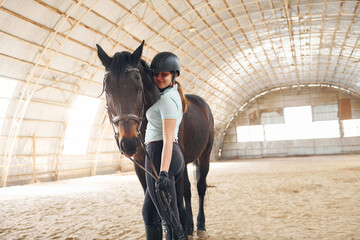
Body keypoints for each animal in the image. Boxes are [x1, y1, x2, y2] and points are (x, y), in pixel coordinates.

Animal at [96, 41, 214, 238]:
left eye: (139, 89)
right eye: (108, 91)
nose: (128, 144)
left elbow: (177, 206)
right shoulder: (140, 167)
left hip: (204, 156)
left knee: (200, 187)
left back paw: (200, 224)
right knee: (188, 191)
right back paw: (190, 226)